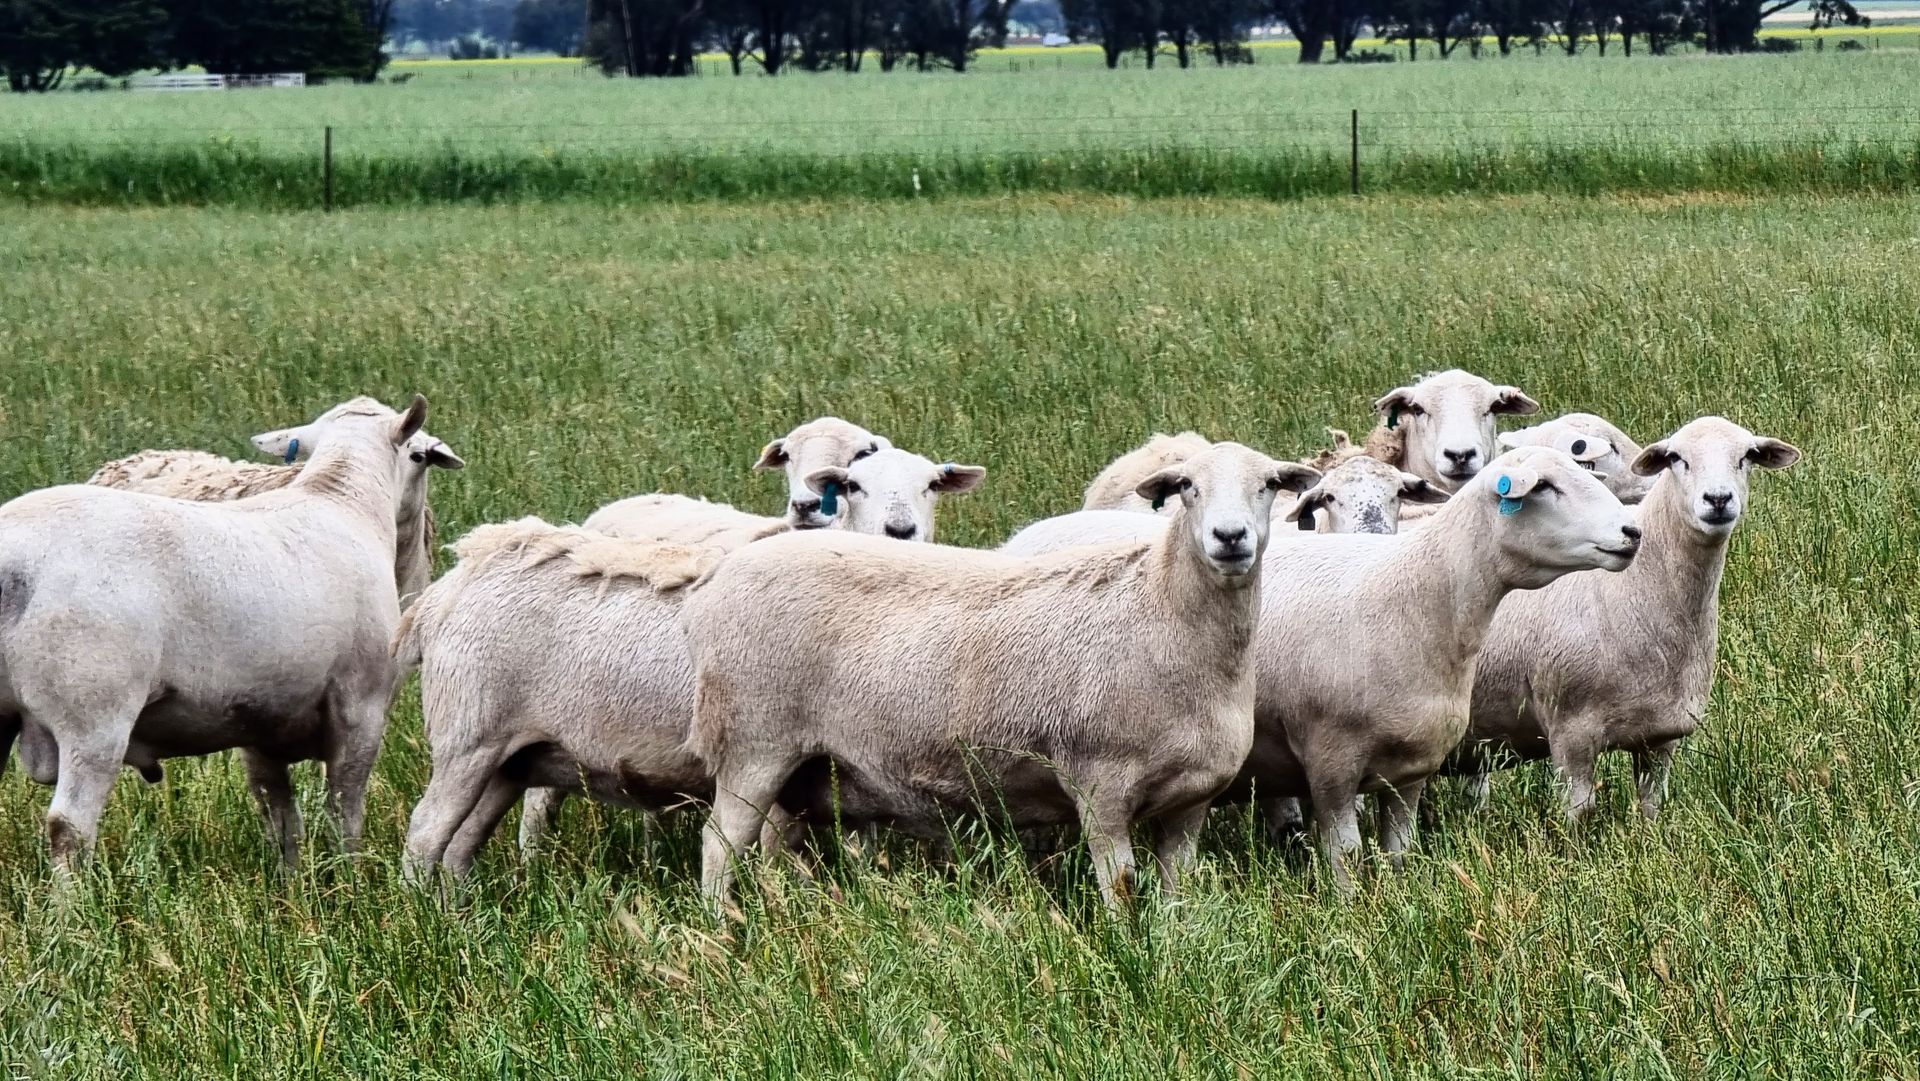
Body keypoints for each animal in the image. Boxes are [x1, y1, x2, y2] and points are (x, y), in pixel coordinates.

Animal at [396, 519, 721, 881]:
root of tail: (441, 594)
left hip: (512, 761)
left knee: (463, 841)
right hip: (467, 735)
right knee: (427, 832)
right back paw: (417, 896)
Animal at [680, 442, 1320, 910]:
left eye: (1268, 484)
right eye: (1187, 487)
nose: (1230, 537)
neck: (1161, 611)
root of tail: (720, 579)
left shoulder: (1190, 800)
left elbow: (1175, 895)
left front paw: (1171, 944)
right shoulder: (1100, 785)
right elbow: (1119, 891)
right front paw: (1126, 952)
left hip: (803, 766)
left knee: (770, 843)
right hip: (753, 741)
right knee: (719, 843)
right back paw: (724, 930)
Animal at [1005, 447, 1641, 893]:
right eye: (1548, 487)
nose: (1632, 532)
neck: (1413, 596)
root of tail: (1022, 536)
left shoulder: (1411, 768)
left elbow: (1397, 854)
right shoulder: (1330, 760)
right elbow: (1345, 858)